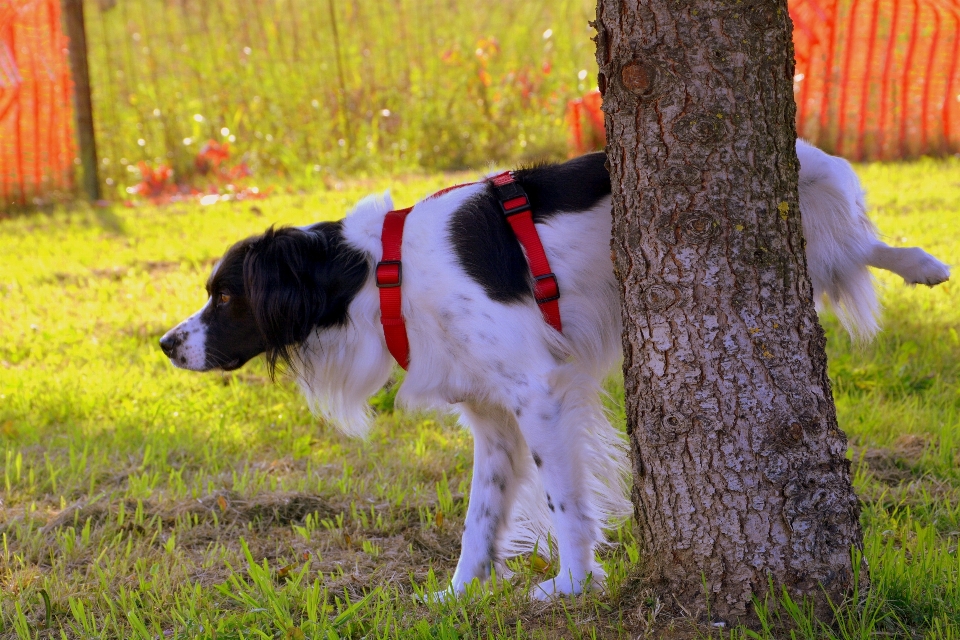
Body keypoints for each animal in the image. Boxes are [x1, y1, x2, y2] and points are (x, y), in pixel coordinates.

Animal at [161, 141, 948, 600]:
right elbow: (480, 521)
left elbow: (566, 505)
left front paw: (572, 584)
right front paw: (459, 596)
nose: (167, 344)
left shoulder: (538, 395)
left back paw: (924, 264)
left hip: (813, 208)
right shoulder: (492, 419)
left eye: (225, 297)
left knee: (862, 242)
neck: (381, 275)